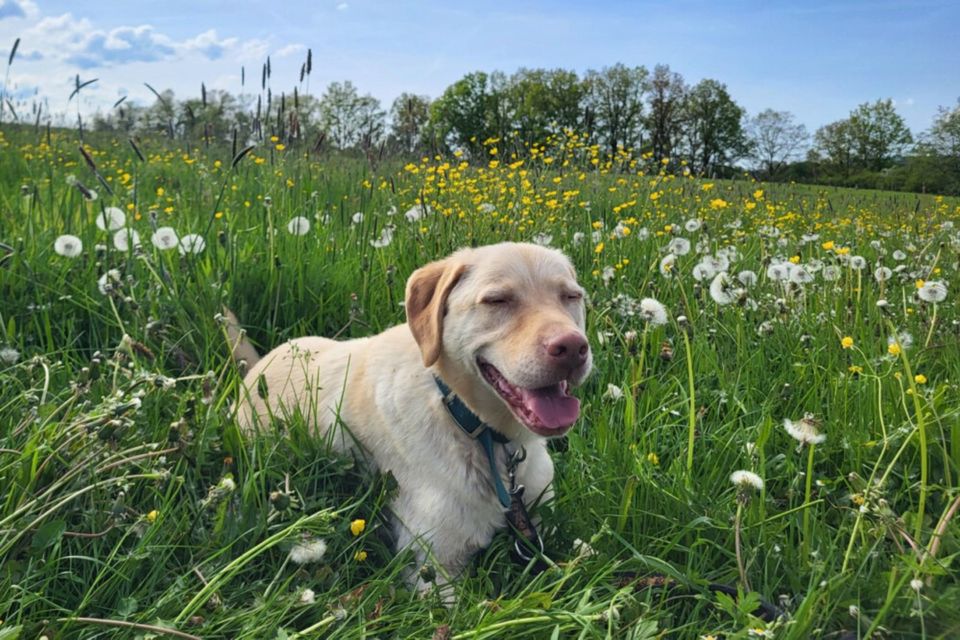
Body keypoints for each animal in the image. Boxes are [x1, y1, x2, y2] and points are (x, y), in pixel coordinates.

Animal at [231, 242, 592, 592]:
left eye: (572, 296)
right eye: (497, 300)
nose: (573, 348)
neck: (470, 424)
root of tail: (256, 369)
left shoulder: (544, 526)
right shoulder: (435, 565)